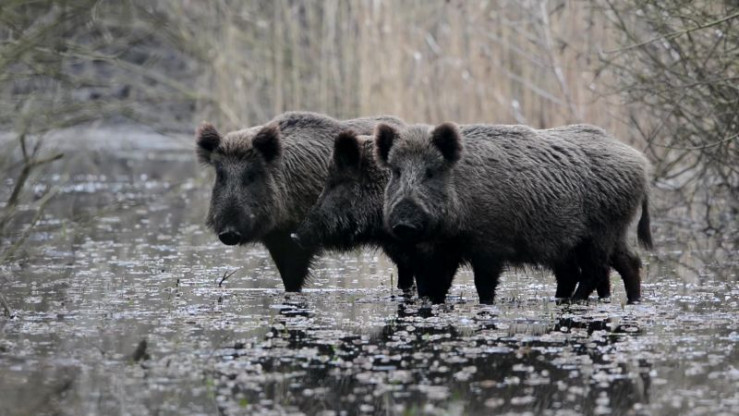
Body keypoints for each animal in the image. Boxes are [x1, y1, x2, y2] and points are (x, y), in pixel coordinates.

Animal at [374, 122, 653, 304]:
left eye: (431, 172)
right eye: (396, 172)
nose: (403, 223)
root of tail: (642, 163)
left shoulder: (490, 244)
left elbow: (484, 285)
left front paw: (486, 304)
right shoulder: (444, 250)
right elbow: (438, 285)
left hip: (599, 233)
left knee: (596, 270)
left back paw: (574, 302)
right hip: (612, 233)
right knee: (628, 263)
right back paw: (631, 301)